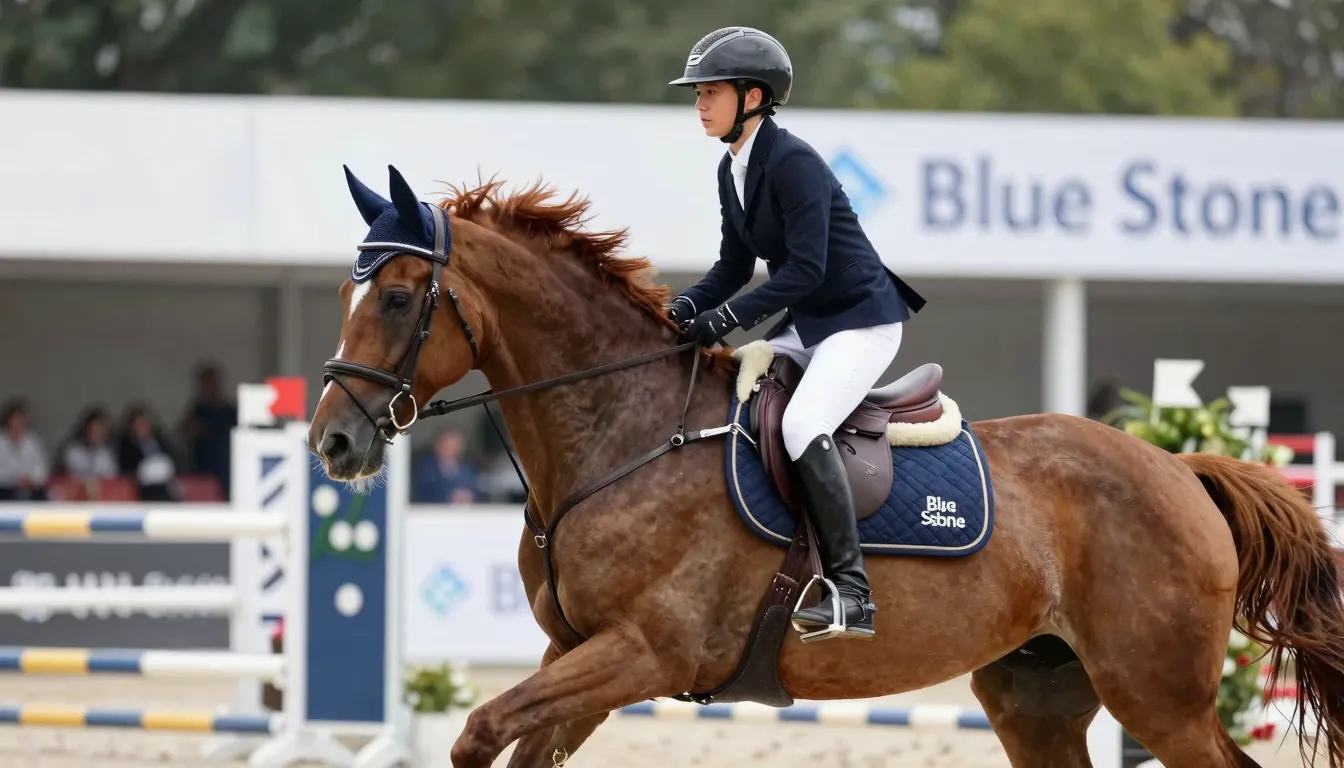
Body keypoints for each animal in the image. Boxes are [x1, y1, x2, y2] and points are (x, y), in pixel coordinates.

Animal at [309, 164, 1344, 768]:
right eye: (345, 295)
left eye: (399, 298)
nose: (333, 444)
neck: (621, 437)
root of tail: (1177, 467)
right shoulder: (575, 655)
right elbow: (505, 737)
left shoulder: (641, 653)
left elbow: (480, 729)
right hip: (1037, 693)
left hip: (1156, 695)